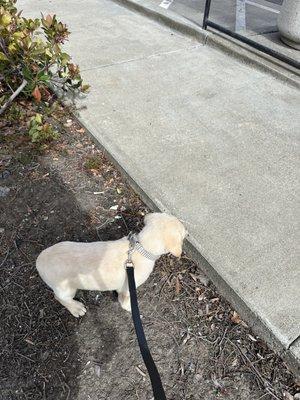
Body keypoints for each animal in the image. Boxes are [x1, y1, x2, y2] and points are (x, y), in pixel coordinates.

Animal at [36, 214, 186, 318]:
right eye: (184, 233)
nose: (188, 232)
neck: (141, 246)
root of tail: (39, 260)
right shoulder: (127, 288)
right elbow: (126, 301)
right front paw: (131, 308)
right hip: (65, 289)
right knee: (59, 298)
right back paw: (76, 308)